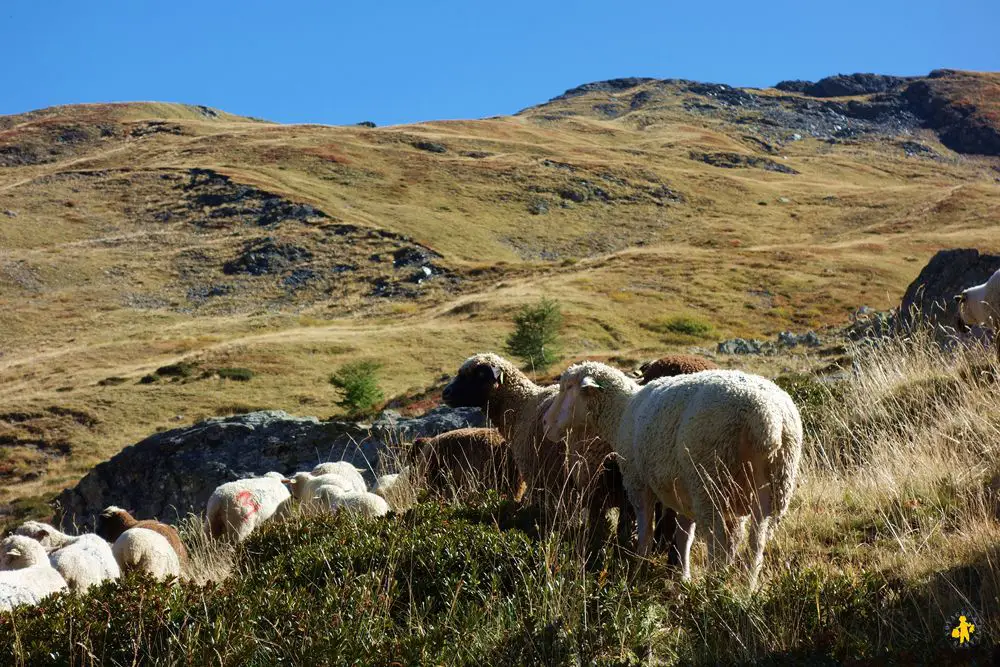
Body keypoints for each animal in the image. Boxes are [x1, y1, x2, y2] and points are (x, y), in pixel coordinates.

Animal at [544, 362, 800, 588]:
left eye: (567, 387)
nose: (547, 424)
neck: (621, 413)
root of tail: (767, 417)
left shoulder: (638, 485)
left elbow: (646, 532)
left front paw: (639, 570)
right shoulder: (682, 494)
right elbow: (684, 537)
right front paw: (682, 577)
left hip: (710, 481)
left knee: (718, 544)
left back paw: (713, 588)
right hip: (773, 488)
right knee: (757, 544)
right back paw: (745, 590)